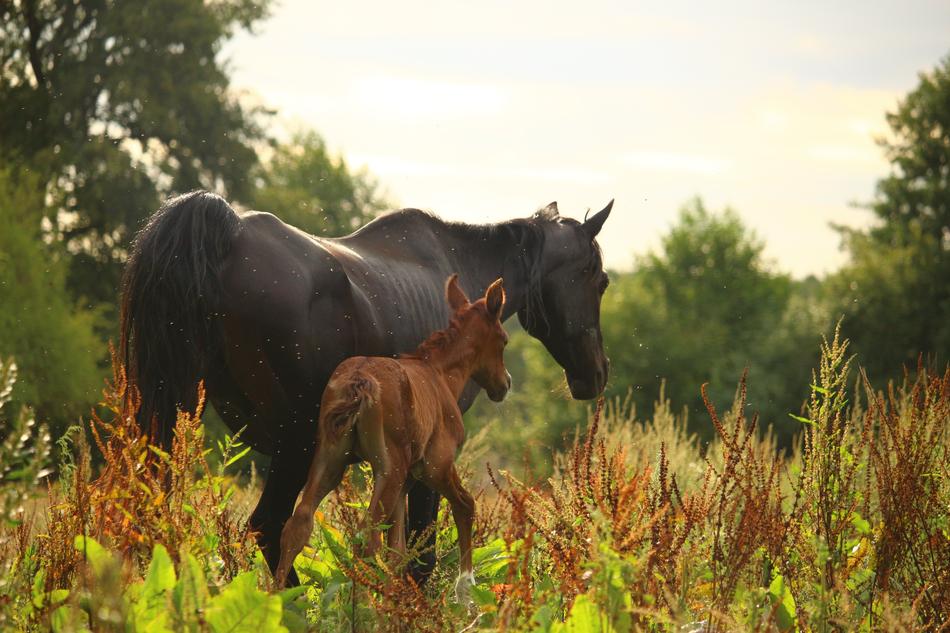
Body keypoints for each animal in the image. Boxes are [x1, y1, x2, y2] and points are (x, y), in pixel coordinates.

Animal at [274, 275, 510, 596]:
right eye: (504, 340)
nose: (505, 384)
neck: (439, 374)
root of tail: (358, 380)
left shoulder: (406, 482)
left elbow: (397, 550)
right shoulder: (435, 467)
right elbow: (466, 504)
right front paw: (466, 590)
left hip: (331, 457)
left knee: (299, 523)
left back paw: (277, 597)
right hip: (389, 466)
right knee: (366, 536)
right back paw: (362, 606)